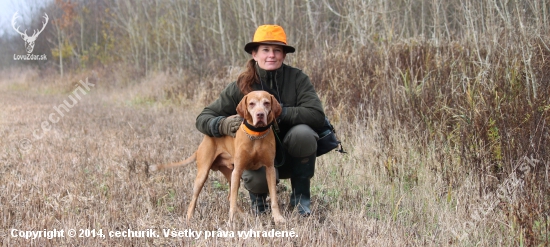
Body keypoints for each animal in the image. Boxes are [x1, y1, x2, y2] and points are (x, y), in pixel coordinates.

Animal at [152, 91, 288, 226]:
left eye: (266, 103)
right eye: (251, 104)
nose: (260, 115)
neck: (256, 135)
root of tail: (205, 138)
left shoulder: (270, 169)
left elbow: (274, 198)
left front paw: (278, 218)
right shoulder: (238, 170)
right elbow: (233, 201)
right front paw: (231, 221)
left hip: (231, 174)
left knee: (229, 196)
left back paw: (246, 216)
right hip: (204, 174)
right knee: (194, 199)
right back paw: (189, 219)